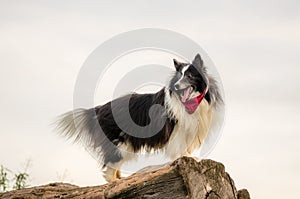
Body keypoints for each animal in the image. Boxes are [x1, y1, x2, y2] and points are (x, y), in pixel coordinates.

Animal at [57, 53, 224, 182]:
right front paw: (188, 158)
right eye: (178, 76)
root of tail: (99, 109)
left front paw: (190, 157)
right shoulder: (178, 129)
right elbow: (180, 147)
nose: (176, 85)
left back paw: (121, 178)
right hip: (119, 143)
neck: (191, 102)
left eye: (189, 76)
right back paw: (114, 182)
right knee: (110, 167)